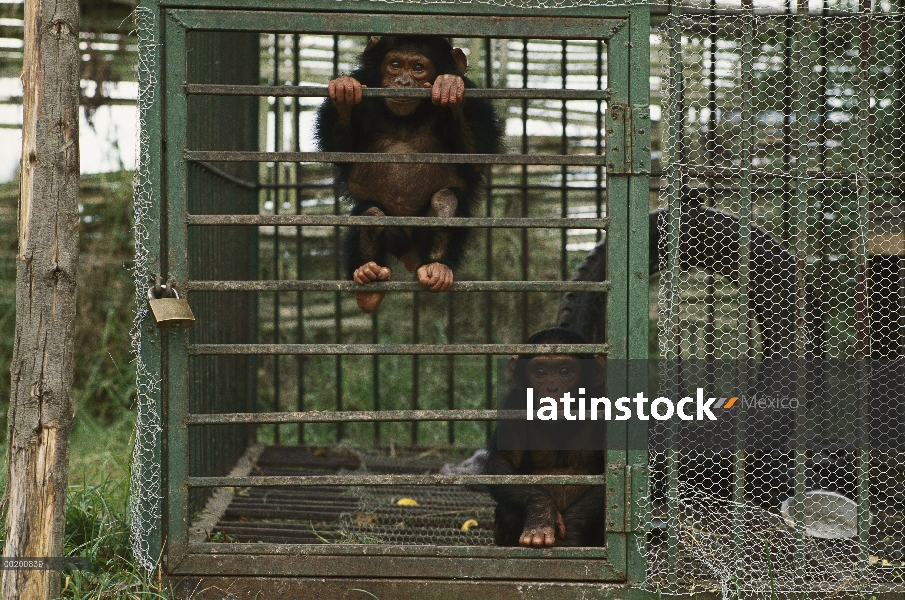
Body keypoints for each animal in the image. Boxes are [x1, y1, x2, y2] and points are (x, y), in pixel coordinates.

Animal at [316, 36, 502, 314]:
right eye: (395, 65)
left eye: (418, 68)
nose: (403, 82)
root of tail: (409, 254)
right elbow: (340, 150)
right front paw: (345, 91)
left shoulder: (477, 103)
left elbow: (478, 155)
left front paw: (450, 86)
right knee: (371, 214)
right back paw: (367, 278)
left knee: (446, 201)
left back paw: (436, 267)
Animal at [480, 328, 608, 548]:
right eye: (540, 371)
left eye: (564, 371)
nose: (552, 388)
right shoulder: (515, 405)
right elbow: (502, 463)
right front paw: (541, 514)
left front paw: (570, 533)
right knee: (508, 509)